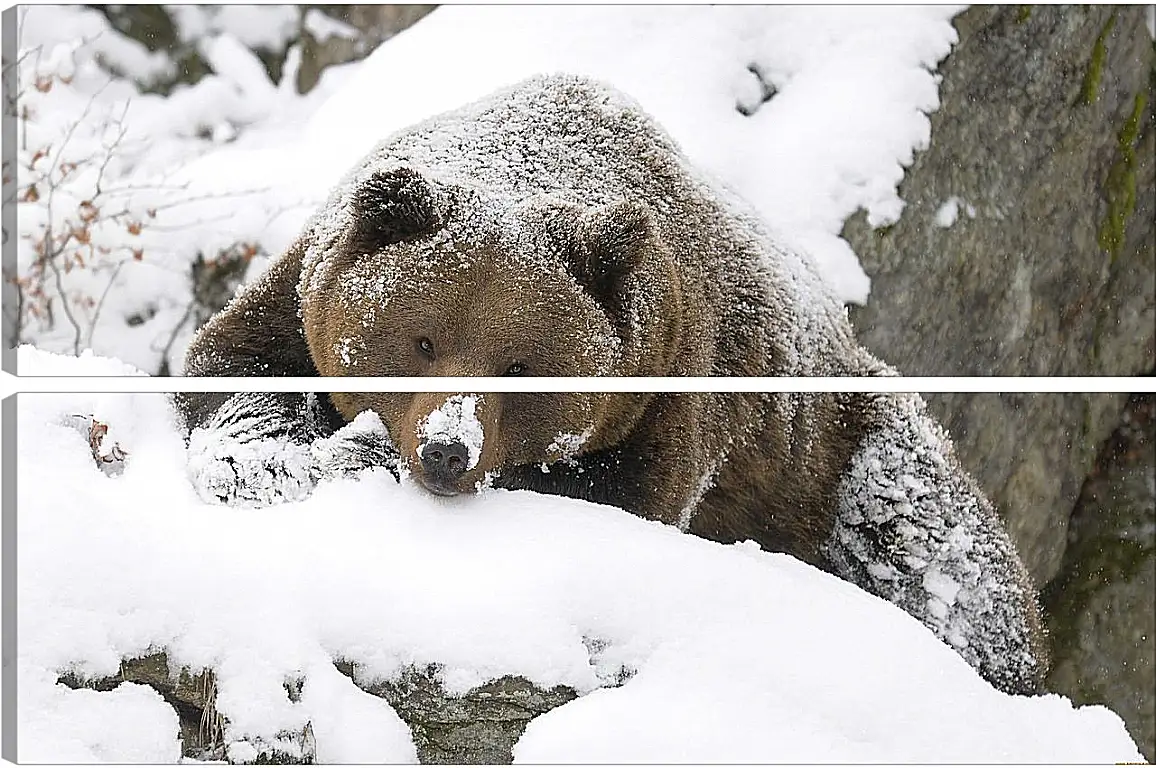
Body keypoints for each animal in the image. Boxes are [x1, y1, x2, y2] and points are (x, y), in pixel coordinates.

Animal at [178, 73, 1049, 693]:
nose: (447, 451)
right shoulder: (303, 294)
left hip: (842, 454)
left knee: (942, 560)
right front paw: (287, 454)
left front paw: (360, 454)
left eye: (520, 364)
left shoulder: (673, 392)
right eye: (422, 339)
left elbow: (614, 496)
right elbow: (233, 370)